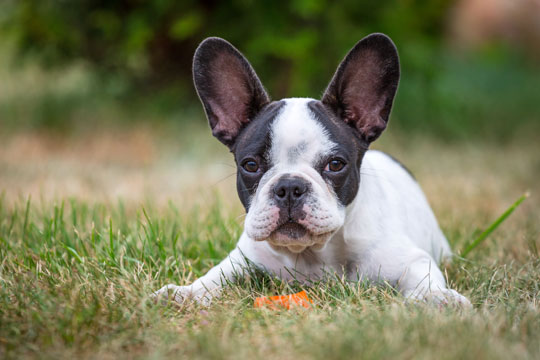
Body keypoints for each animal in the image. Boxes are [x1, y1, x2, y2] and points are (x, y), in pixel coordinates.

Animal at [152, 33, 468, 306]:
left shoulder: (411, 260)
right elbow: (214, 277)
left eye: (335, 164)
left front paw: (437, 298)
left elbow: (425, 279)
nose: (289, 187)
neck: (311, 255)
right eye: (251, 165)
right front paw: (186, 292)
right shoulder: (242, 259)